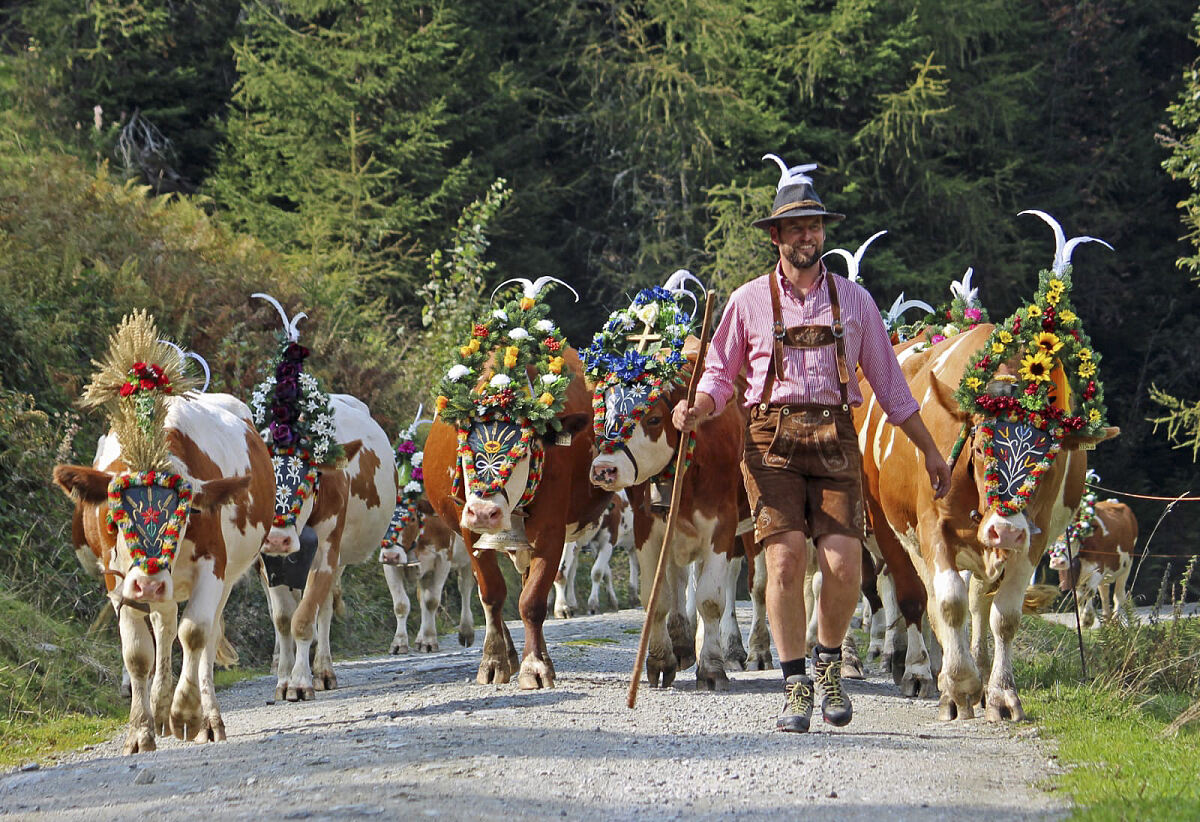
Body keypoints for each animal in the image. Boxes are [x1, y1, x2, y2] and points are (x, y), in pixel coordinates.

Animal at [53, 316, 272, 753]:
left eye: (185, 515)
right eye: (116, 516)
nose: (149, 584)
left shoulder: (213, 568)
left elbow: (195, 634)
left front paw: (185, 714)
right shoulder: (118, 582)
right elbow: (139, 653)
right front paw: (141, 728)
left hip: (226, 578)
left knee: (203, 634)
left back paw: (208, 718)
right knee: (164, 625)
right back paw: (158, 700)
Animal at [1051, 496, 1132, 624]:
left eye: (1074, 535)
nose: (1058, 562)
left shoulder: (1098, 569)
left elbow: (1089, 592)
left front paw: (1087, 619)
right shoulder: (1077, 575)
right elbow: (1079, 598)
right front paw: (1080, 621)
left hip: (1126, 567)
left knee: (1118, 596)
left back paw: (1117, 620)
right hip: (1106, 577)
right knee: (1105, 597)